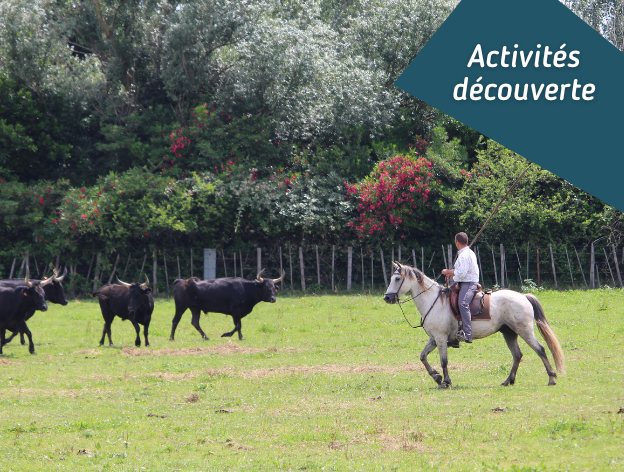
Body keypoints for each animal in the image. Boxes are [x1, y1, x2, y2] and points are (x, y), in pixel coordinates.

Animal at [380, 262, 564, 388]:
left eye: (397, 279)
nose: (387, 298)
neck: (433, 301)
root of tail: (523, 296)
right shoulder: (434, 339)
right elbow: (423, 356)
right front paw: (437, 377)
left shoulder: (440, 338)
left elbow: (443, 361)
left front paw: (445, 381)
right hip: (509, 333)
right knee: (517, 355)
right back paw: (508, 380)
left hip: (524, 331)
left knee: (540, 350)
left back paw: (551, 378)